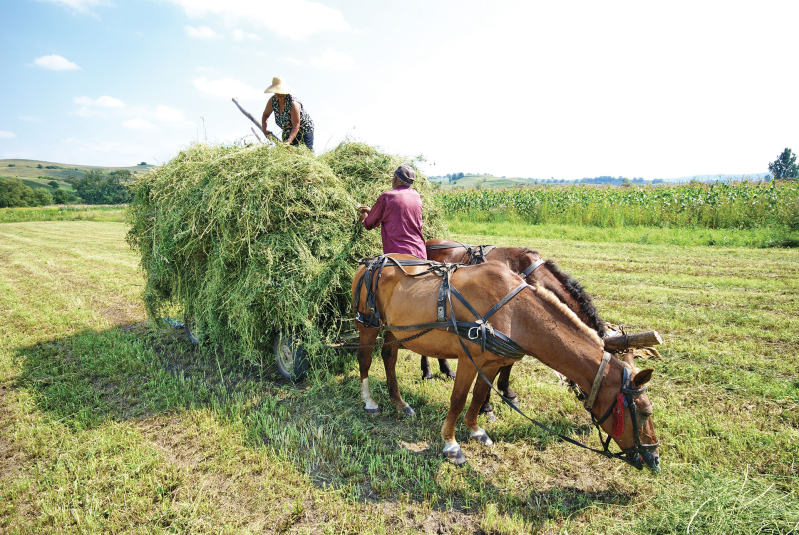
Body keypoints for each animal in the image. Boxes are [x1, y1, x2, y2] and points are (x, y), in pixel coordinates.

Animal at [354, 258, 660, 472]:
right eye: (643, 412)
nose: (654, 458)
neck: (514, 312)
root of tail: (369, 262)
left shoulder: (491, 362)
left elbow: (479, 396)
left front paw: (476, 430)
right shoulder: (469, 359)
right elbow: (458, 399)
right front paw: (451, 445)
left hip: (394, 330)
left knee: (389, 357)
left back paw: (399, 402)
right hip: (367, 324)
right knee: (365, 359)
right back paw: (369, 401)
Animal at [424, 239, 608, 410]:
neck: (528, 275)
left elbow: (508, 365)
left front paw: (507, 393)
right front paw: (486, 404)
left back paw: (447, 370)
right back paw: (427, 373)